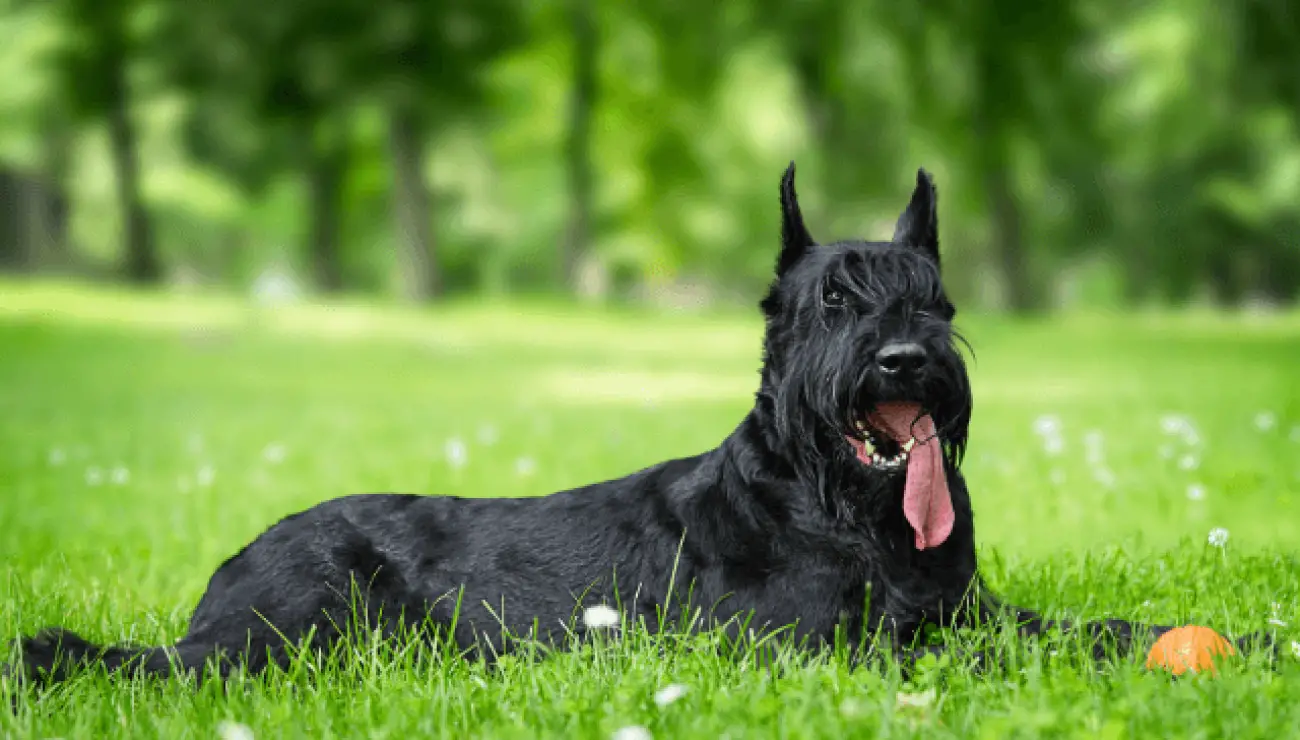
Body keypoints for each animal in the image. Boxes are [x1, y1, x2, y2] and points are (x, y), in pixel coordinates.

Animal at [7, 164, 1248, 681]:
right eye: (834, 301)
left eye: (932, 301)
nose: (905, 361)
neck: (840, 505)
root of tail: (233, 557)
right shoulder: (800, 642)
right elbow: (965, 656)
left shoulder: (966, 605)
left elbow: (1076, 627)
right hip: (283, 630)